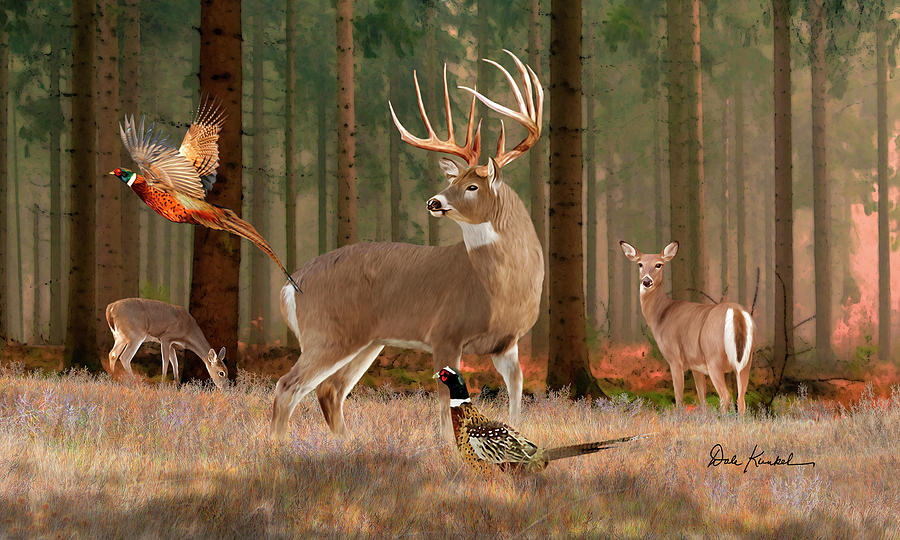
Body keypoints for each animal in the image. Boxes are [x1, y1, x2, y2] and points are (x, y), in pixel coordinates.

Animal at [271, 50, 544, 442]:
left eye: (472, 186)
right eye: (453, 180)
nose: (434, 202)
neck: (500, 289)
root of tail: (290, 286)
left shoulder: (508, 344)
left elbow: (517, 398)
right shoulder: (444, 333)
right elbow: (447, 407)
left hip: (367, 342)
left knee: (329, 390)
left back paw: (345, 443)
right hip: (327, 333)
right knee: (288, 386)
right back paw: (278, 445)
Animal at [619, 241, 755, 414]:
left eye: (659, 264)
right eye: (640, 264)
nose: (646, 281)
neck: (662, 315)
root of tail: (736, 312)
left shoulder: (674, 358)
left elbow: (678, 397)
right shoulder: (696, 365)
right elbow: (702, 399)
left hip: (714, 358)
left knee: (726, 397)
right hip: (747, 360)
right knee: (741, 399)